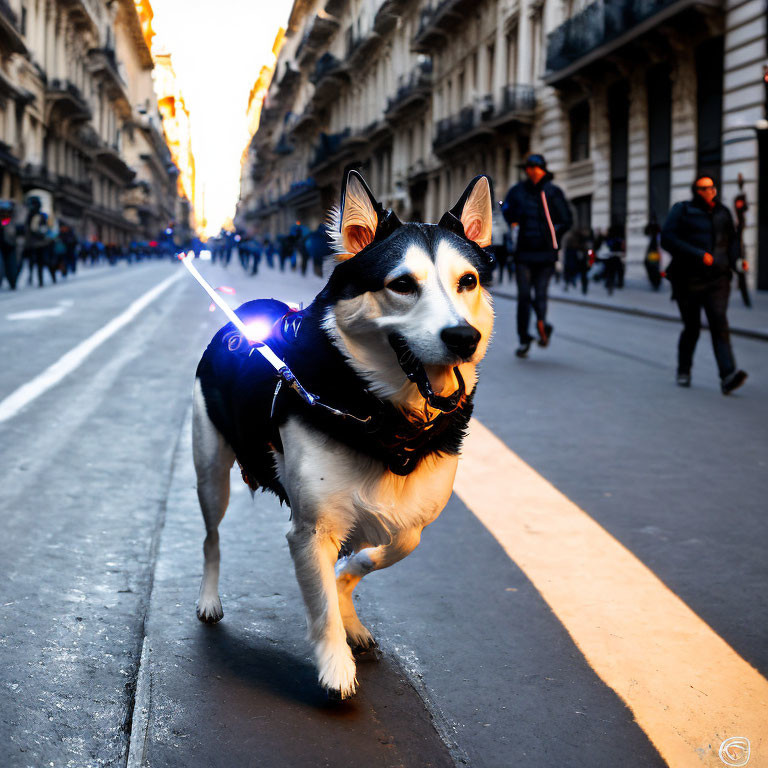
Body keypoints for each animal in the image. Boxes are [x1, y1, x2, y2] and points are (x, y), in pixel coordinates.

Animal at [190, 171, 492, 700]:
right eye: (402, 285)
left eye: (468, 281)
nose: (463, 338)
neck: (383, 417)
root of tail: (248, 307)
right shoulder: (312, 530)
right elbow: (322, 606)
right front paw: (336, 666)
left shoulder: (412, 521)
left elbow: (379, 554)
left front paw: (347, 596)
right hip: (209, 470)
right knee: (211, 537)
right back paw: (209, 599)